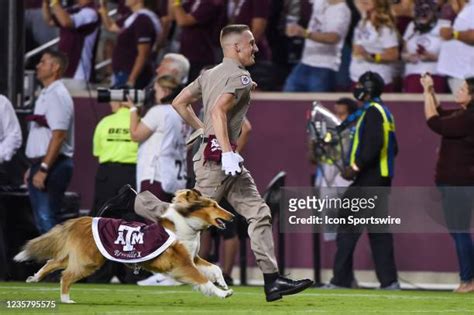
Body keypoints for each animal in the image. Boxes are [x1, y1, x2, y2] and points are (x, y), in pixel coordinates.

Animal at [14, 190, 235, 304]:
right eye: (214, 205)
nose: (233, 216)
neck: (185, 224)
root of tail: (82, 220)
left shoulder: (194, 258)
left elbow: (214, 268)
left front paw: (223, 284)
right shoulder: (184, 264)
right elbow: (203, 280)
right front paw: (223, 293)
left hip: (81, 256)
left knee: (53, 262)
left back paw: (35, 278)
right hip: (88, 261)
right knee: (66, 275)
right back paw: (66, 299)